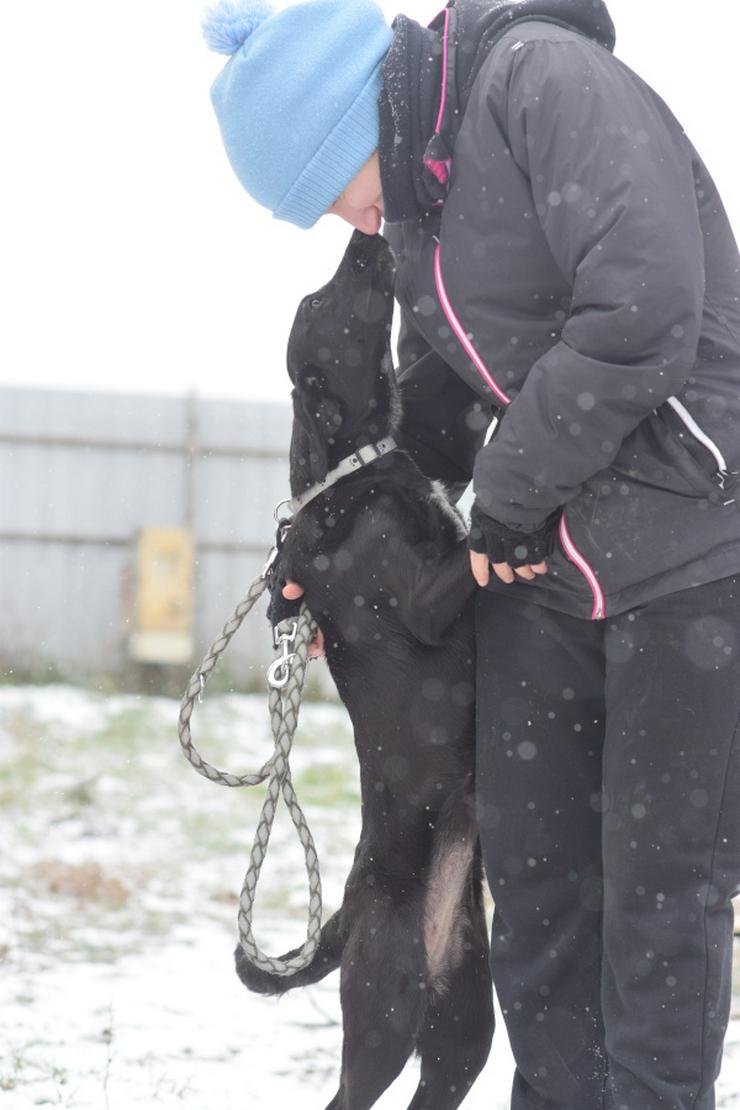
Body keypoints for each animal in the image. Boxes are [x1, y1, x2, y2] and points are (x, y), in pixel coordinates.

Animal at [234, 229, 494, 1105]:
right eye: (322, 303)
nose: (361, 237)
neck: (359, 465)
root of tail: (345, 911)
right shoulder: (423, 596)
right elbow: (476, 557)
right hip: (385, 1007)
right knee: (349, 1092)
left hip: (465, 1026)